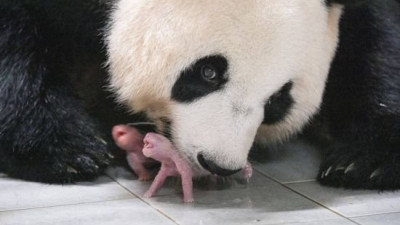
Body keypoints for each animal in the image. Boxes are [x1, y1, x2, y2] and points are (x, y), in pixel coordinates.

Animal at [0, 0, 400, 190]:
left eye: (277, 101)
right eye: (208, 72)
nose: (219, 163)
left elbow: (376, 39)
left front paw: (364, 161)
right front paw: (65, 149)